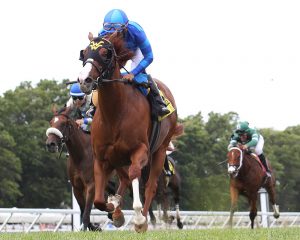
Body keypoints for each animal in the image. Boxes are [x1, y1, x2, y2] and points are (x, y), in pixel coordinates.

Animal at [77, 32, 183, 232]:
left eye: (105, 53)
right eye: (84, 53)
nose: (83, 80)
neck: (116, 113)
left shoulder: (140, 150)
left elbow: (135, 175)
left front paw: (139, 219)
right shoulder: (101, 157)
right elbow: (99, 200)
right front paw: (114, 209)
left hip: (159, 151)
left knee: (150, 186)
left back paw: (146, 218)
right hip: (118, 157)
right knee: (124, 180)